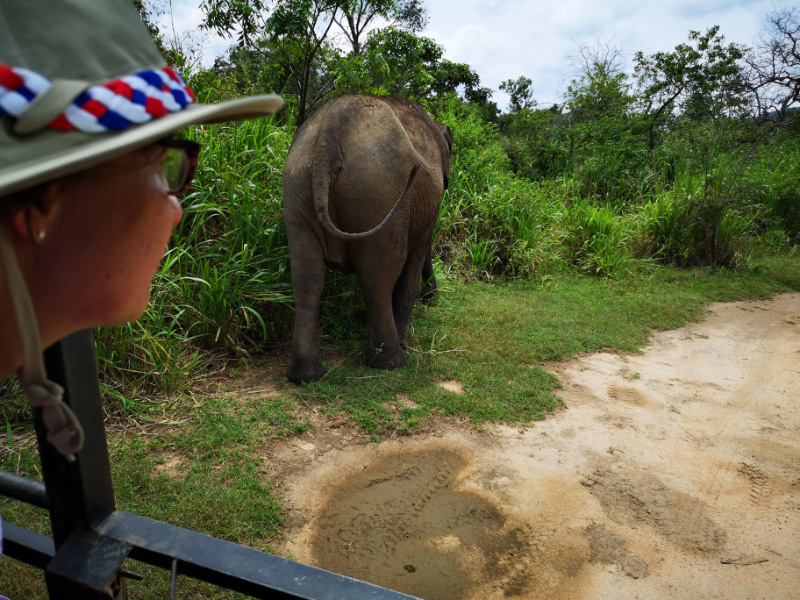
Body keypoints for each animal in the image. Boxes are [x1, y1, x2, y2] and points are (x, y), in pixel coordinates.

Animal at [282, 94, 453, 384]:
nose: (430, 296)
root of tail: (326, 145)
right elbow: (416, 254)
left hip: (297, 186)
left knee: (307, 276)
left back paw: (305, 376)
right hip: (378, 190)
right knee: (379, 274)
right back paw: (392, 361)